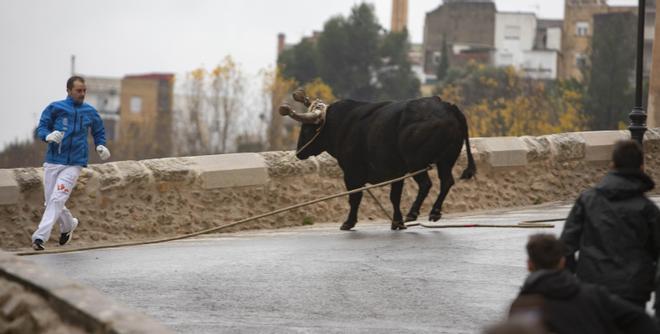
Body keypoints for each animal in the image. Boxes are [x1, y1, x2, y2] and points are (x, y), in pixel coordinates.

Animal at [278, 93, 474, 230]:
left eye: (306, 130)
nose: (299, 153)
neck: (342, 124)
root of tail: (447, 106)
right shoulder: (397, 172)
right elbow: (394, 197)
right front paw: (397, 222)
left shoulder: (352, 172)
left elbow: (355, 197)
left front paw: (348, 222)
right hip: (446, 160)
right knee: (447, 182)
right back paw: (434, 212)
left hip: (416, 162)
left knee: (426, 184)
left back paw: (413, 213)